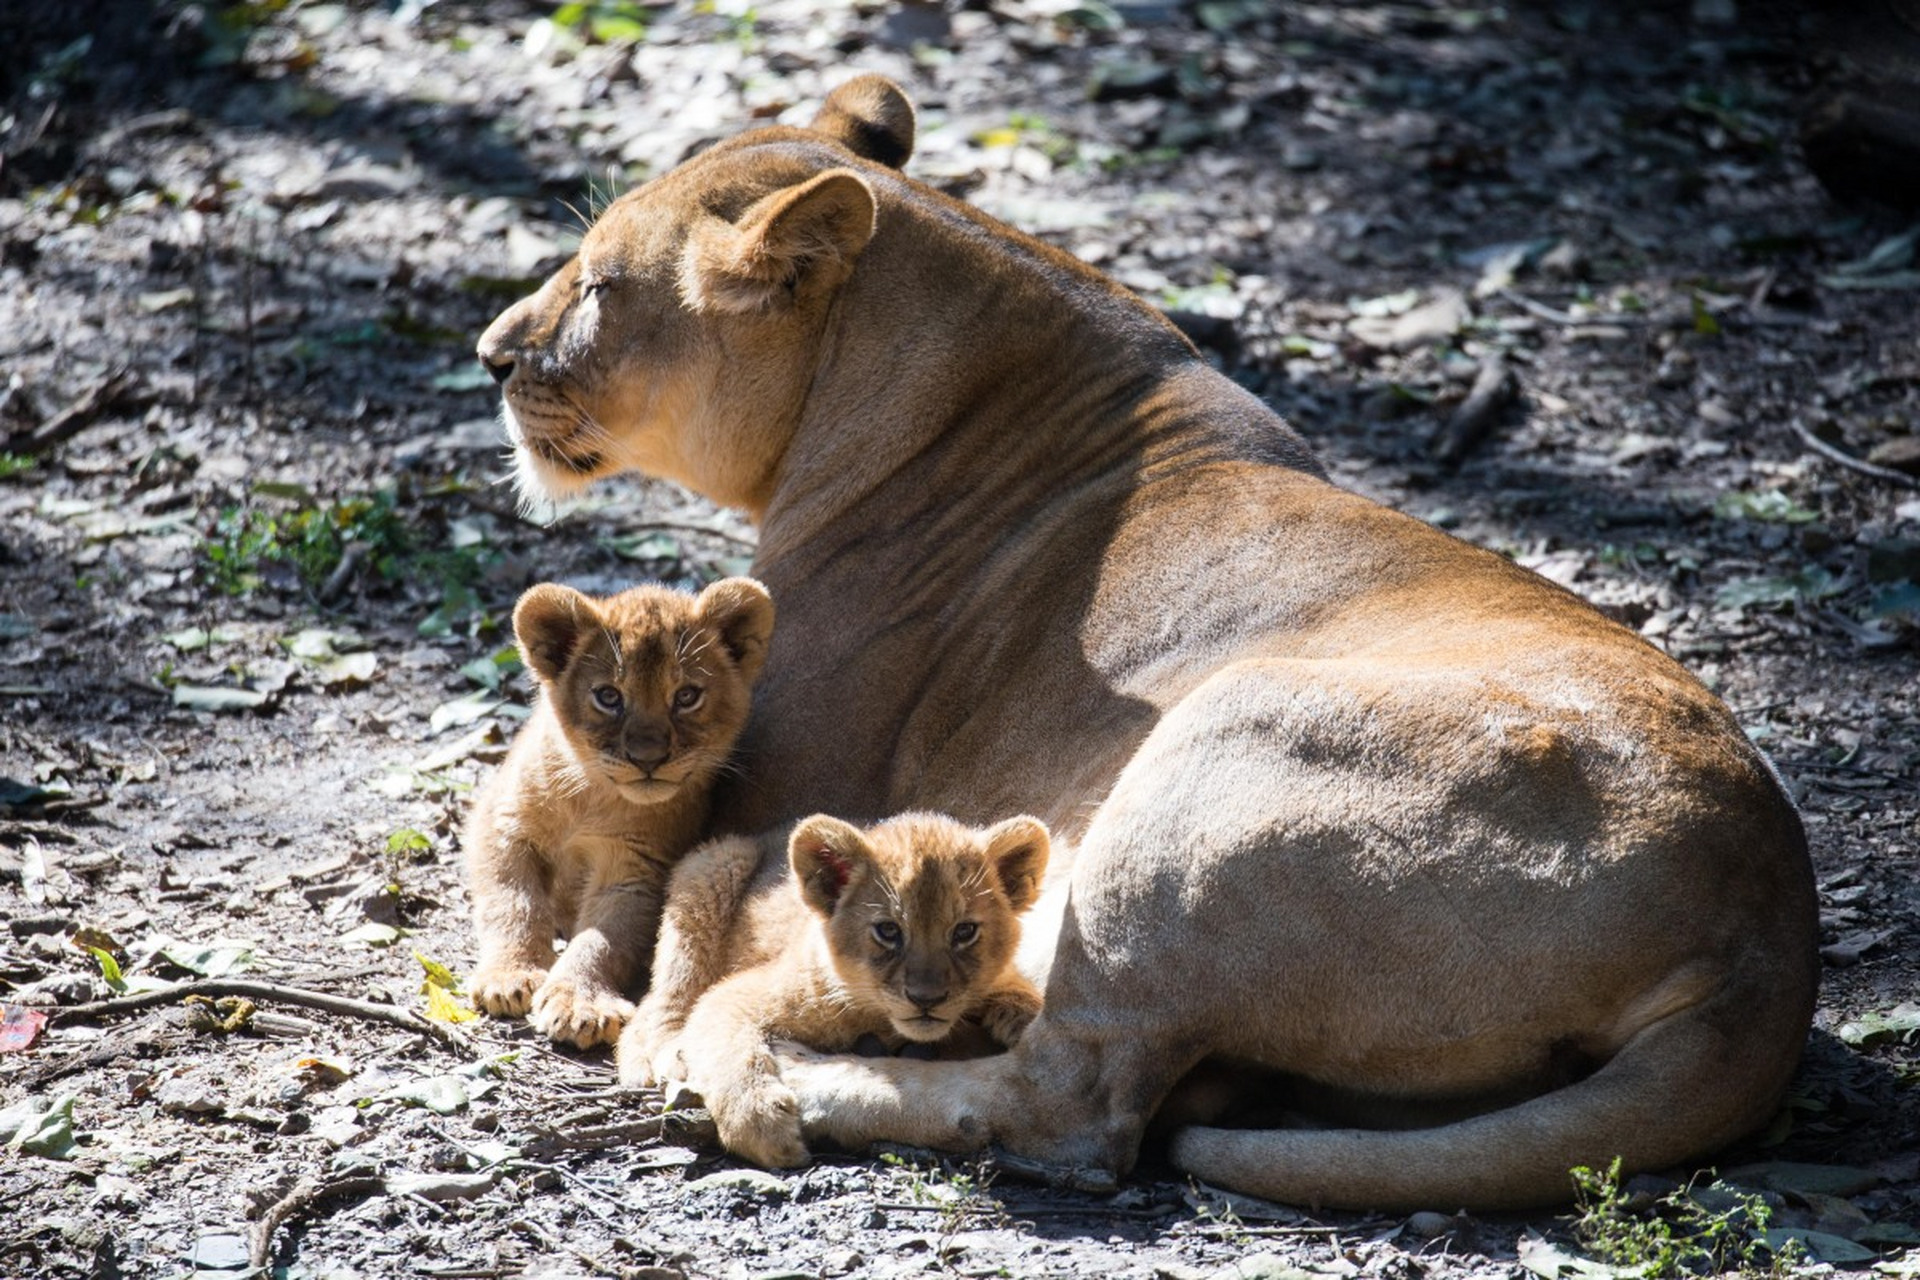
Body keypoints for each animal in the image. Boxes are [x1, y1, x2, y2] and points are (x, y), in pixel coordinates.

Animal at [480, 77, 1812, 1212]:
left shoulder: (752, 779)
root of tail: (1766, 939)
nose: (492, 354)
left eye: (599, 287)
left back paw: (762, 1075)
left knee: (1069, 1104)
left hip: (1206, 761)